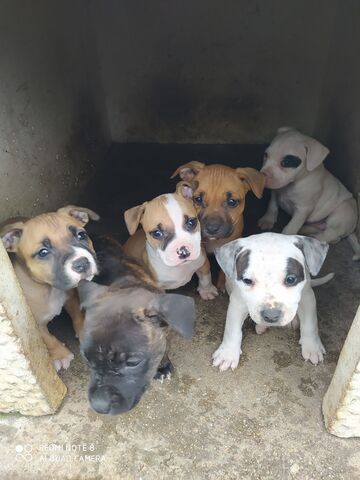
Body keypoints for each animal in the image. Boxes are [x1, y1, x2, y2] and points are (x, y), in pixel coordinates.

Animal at [0, 206, 98, 372]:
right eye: (43, 252)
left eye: (81, 235)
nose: (82, 263)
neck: (50, 289)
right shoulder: (34, 324)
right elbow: (48, 339)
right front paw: (60, 355)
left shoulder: (71, 296)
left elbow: (77, 315)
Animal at [77, 237, 195, 416]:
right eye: (85, 357)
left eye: (133, 363)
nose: (99, 406)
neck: (126, 284)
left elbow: (165, 346)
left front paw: (162, 366)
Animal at [212, 232, 330, 372]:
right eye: (247, 281)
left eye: (291, 279)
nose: (271, 316)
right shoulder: (237, 302)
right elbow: (232, 329)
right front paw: (228, 354)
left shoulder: (307, 297)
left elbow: (310, 324)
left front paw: (312, 347)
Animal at [258, 126, 358, 258]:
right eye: (266, 155)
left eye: (285, 163)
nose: (261, 177)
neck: (292, 184)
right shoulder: (276, 191)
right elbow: (272, 205)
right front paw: (267, 220)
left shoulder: (302, 210)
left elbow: (290, 228)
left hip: (344, 211)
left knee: (332, 235)